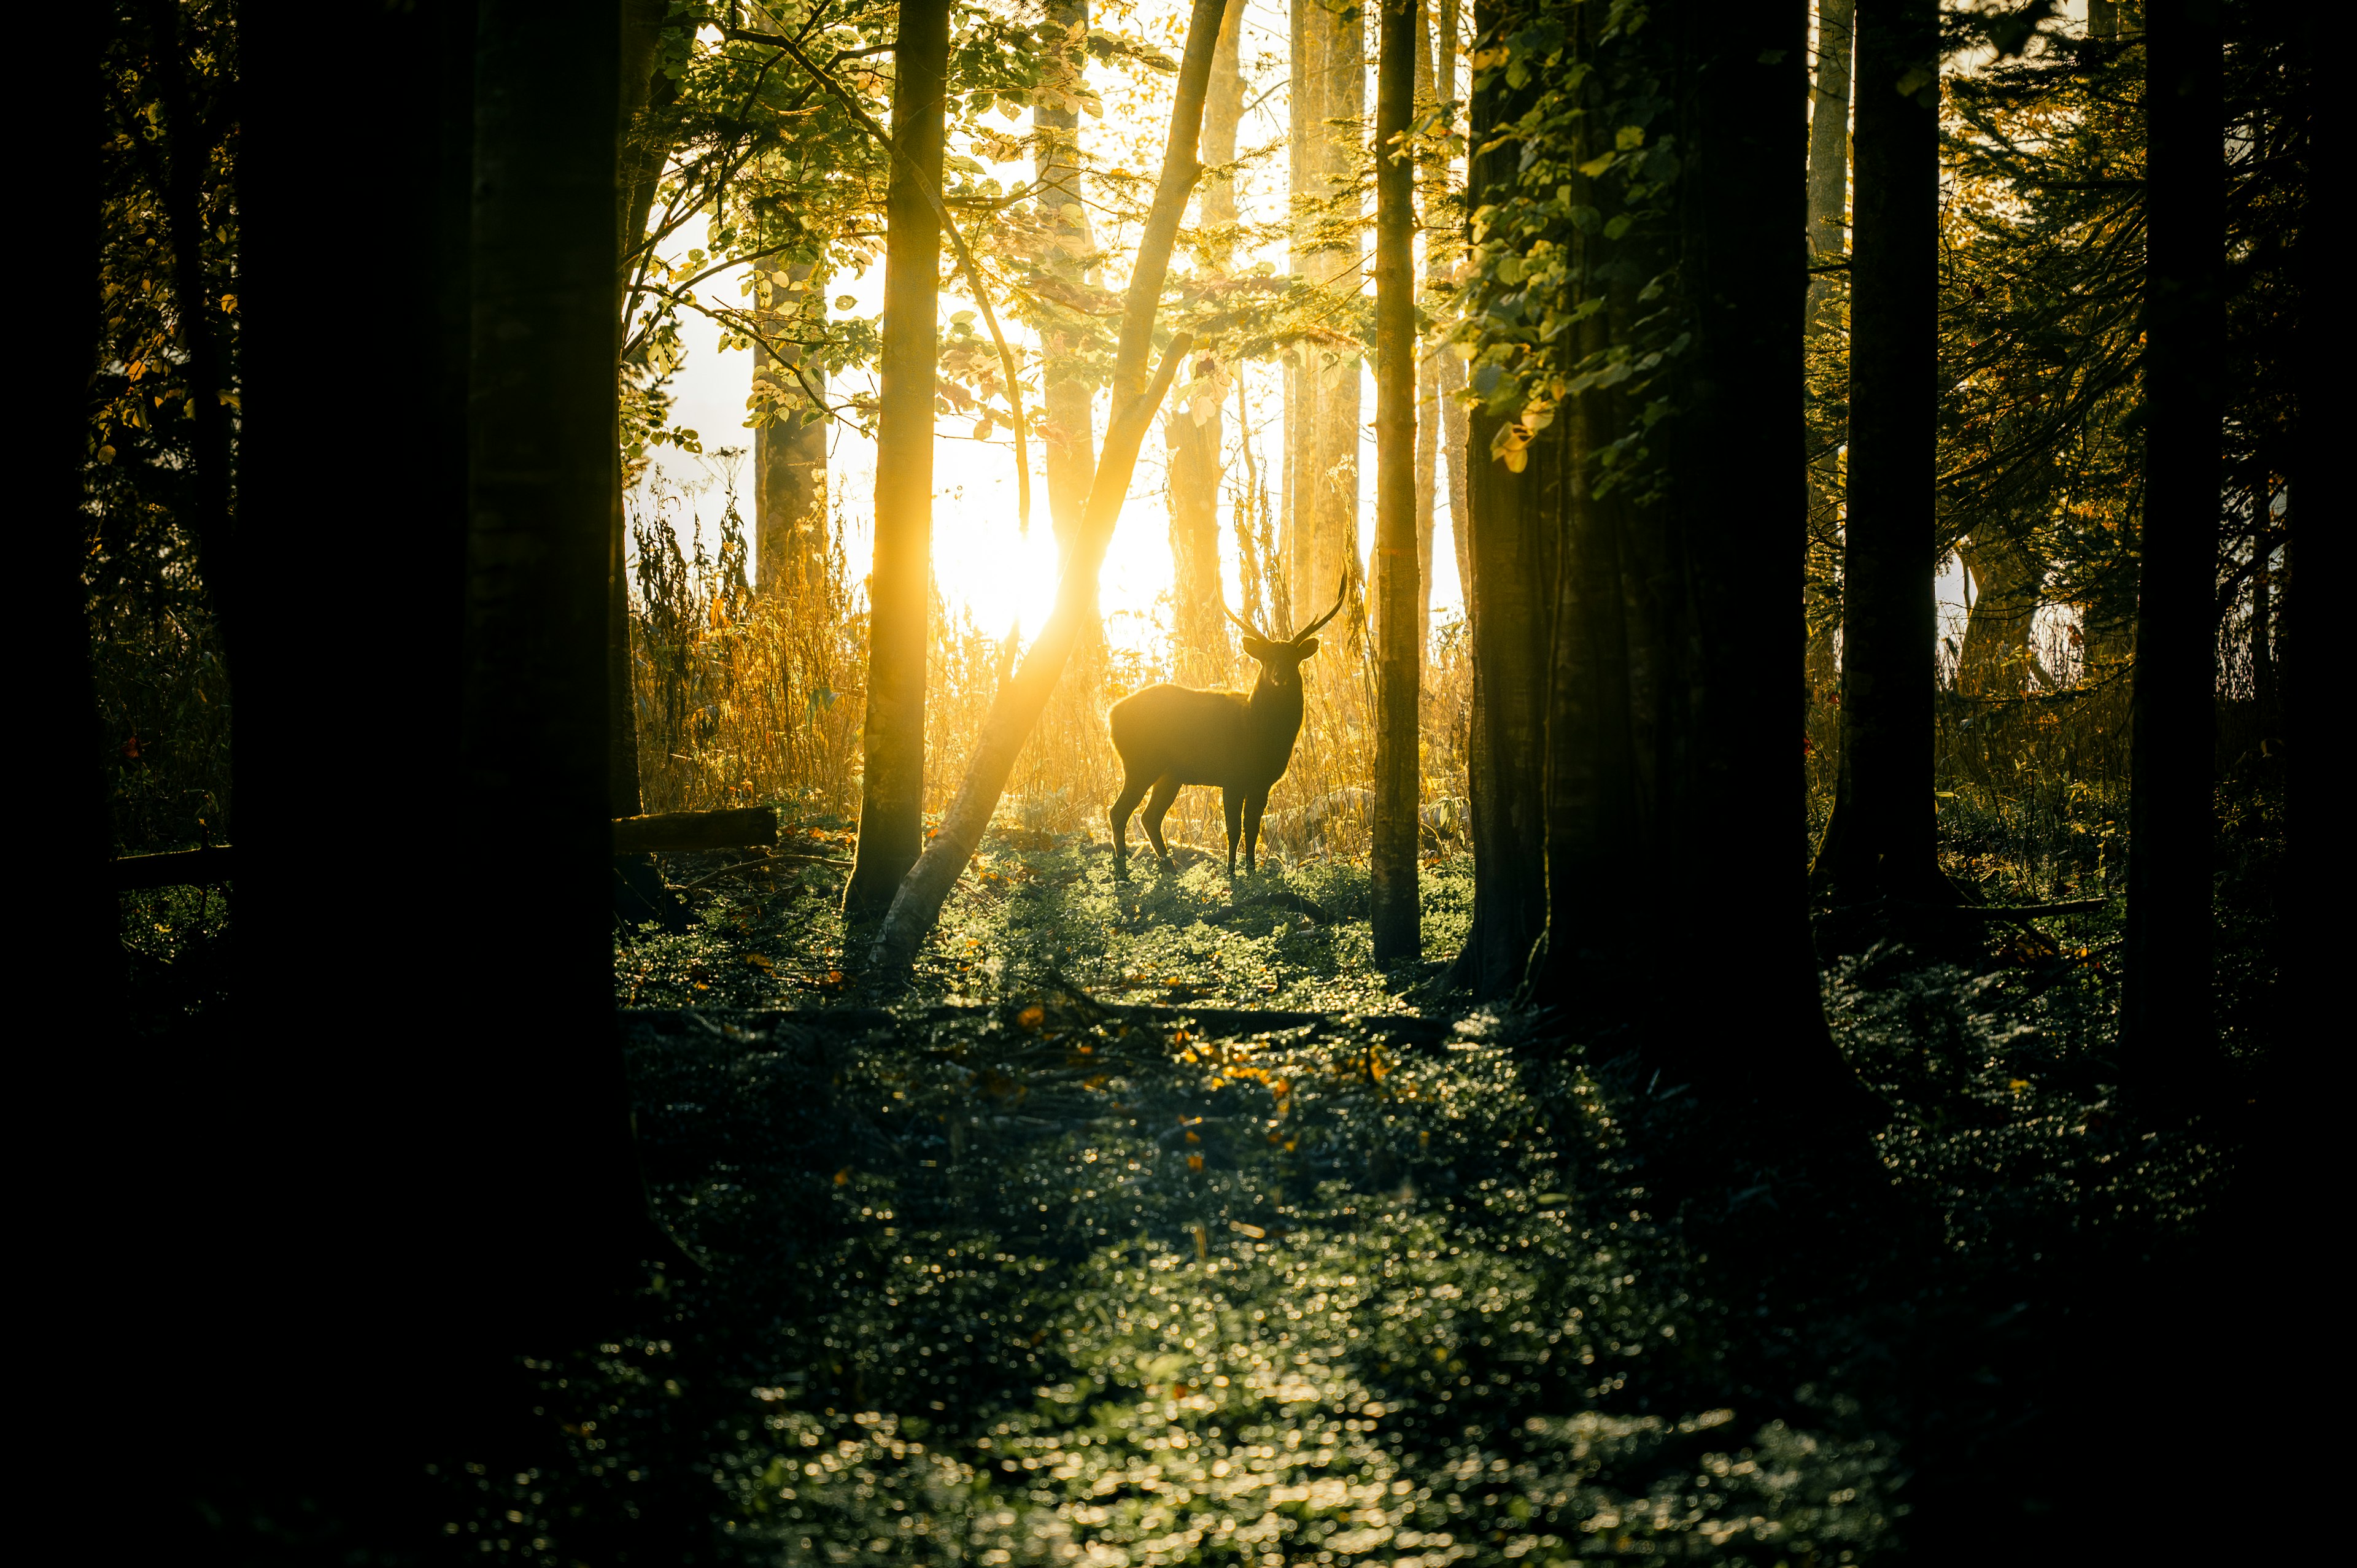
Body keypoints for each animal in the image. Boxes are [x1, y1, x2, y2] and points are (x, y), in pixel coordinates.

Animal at [1103, 575, 1348, 872]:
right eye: (1267, 659)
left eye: (1293, 659)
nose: (1279, 677)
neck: (1258, 732)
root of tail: (1111, 715)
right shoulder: (1232, 776)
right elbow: (1233, 829)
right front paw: (1231, 873)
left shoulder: (1263, 781)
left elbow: (1252, 828)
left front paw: (1251, 870)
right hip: (1140, 764)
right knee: (1119, 812)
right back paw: (1124, 870)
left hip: (1170, 774)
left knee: (1149, 817)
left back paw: (1170, 869)